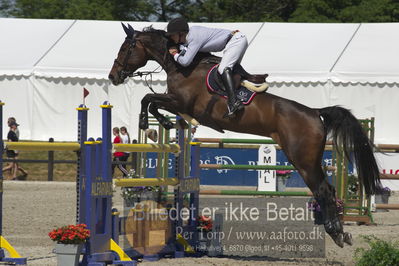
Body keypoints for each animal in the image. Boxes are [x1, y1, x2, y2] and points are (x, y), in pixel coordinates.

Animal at [108, 23, 382, 248]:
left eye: (125, 48)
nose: (113, 76)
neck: (182, 67)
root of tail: (316, 112)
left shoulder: (180, 103)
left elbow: (149, 99)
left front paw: (148, 123)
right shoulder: (178, 106)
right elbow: (153, 101)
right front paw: (162, 123)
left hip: (303, 160)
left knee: (324, 190)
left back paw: (335, 232)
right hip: (308, 160)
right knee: (329, 190)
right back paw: (340, 232)